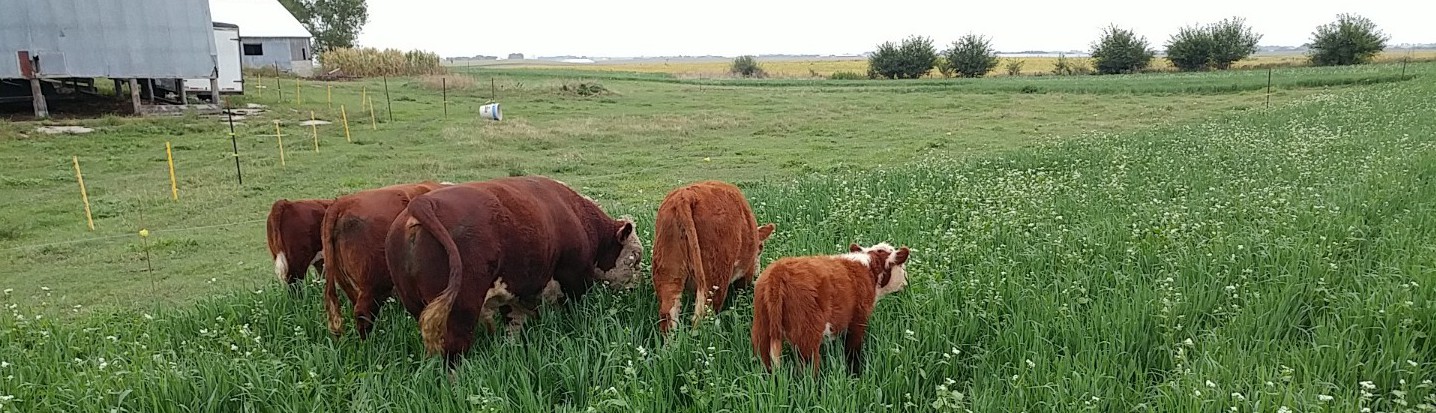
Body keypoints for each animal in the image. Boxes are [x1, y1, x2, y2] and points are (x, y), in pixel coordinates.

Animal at [384, 175, 643, 365]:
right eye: (635, 258)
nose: (636, 288)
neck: (575, 213)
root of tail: (423, 203)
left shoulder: (519, 290)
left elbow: (514, 323)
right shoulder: (573, 278)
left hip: (418, 305)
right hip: (460, 309)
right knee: (454, 351)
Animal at [651, 180, 775, 334]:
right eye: (760, 249)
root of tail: (685, 195)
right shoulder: (746, 271)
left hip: (667, 273)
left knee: (668, 316)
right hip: (716, 278)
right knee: (703, 317)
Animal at [750, 242, 911, 377]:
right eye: (902, 266)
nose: (906, 282)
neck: (868, 269)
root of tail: (778, 272)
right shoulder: (858, 320)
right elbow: (853, 351)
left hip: (762, 330)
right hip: (806, 337)